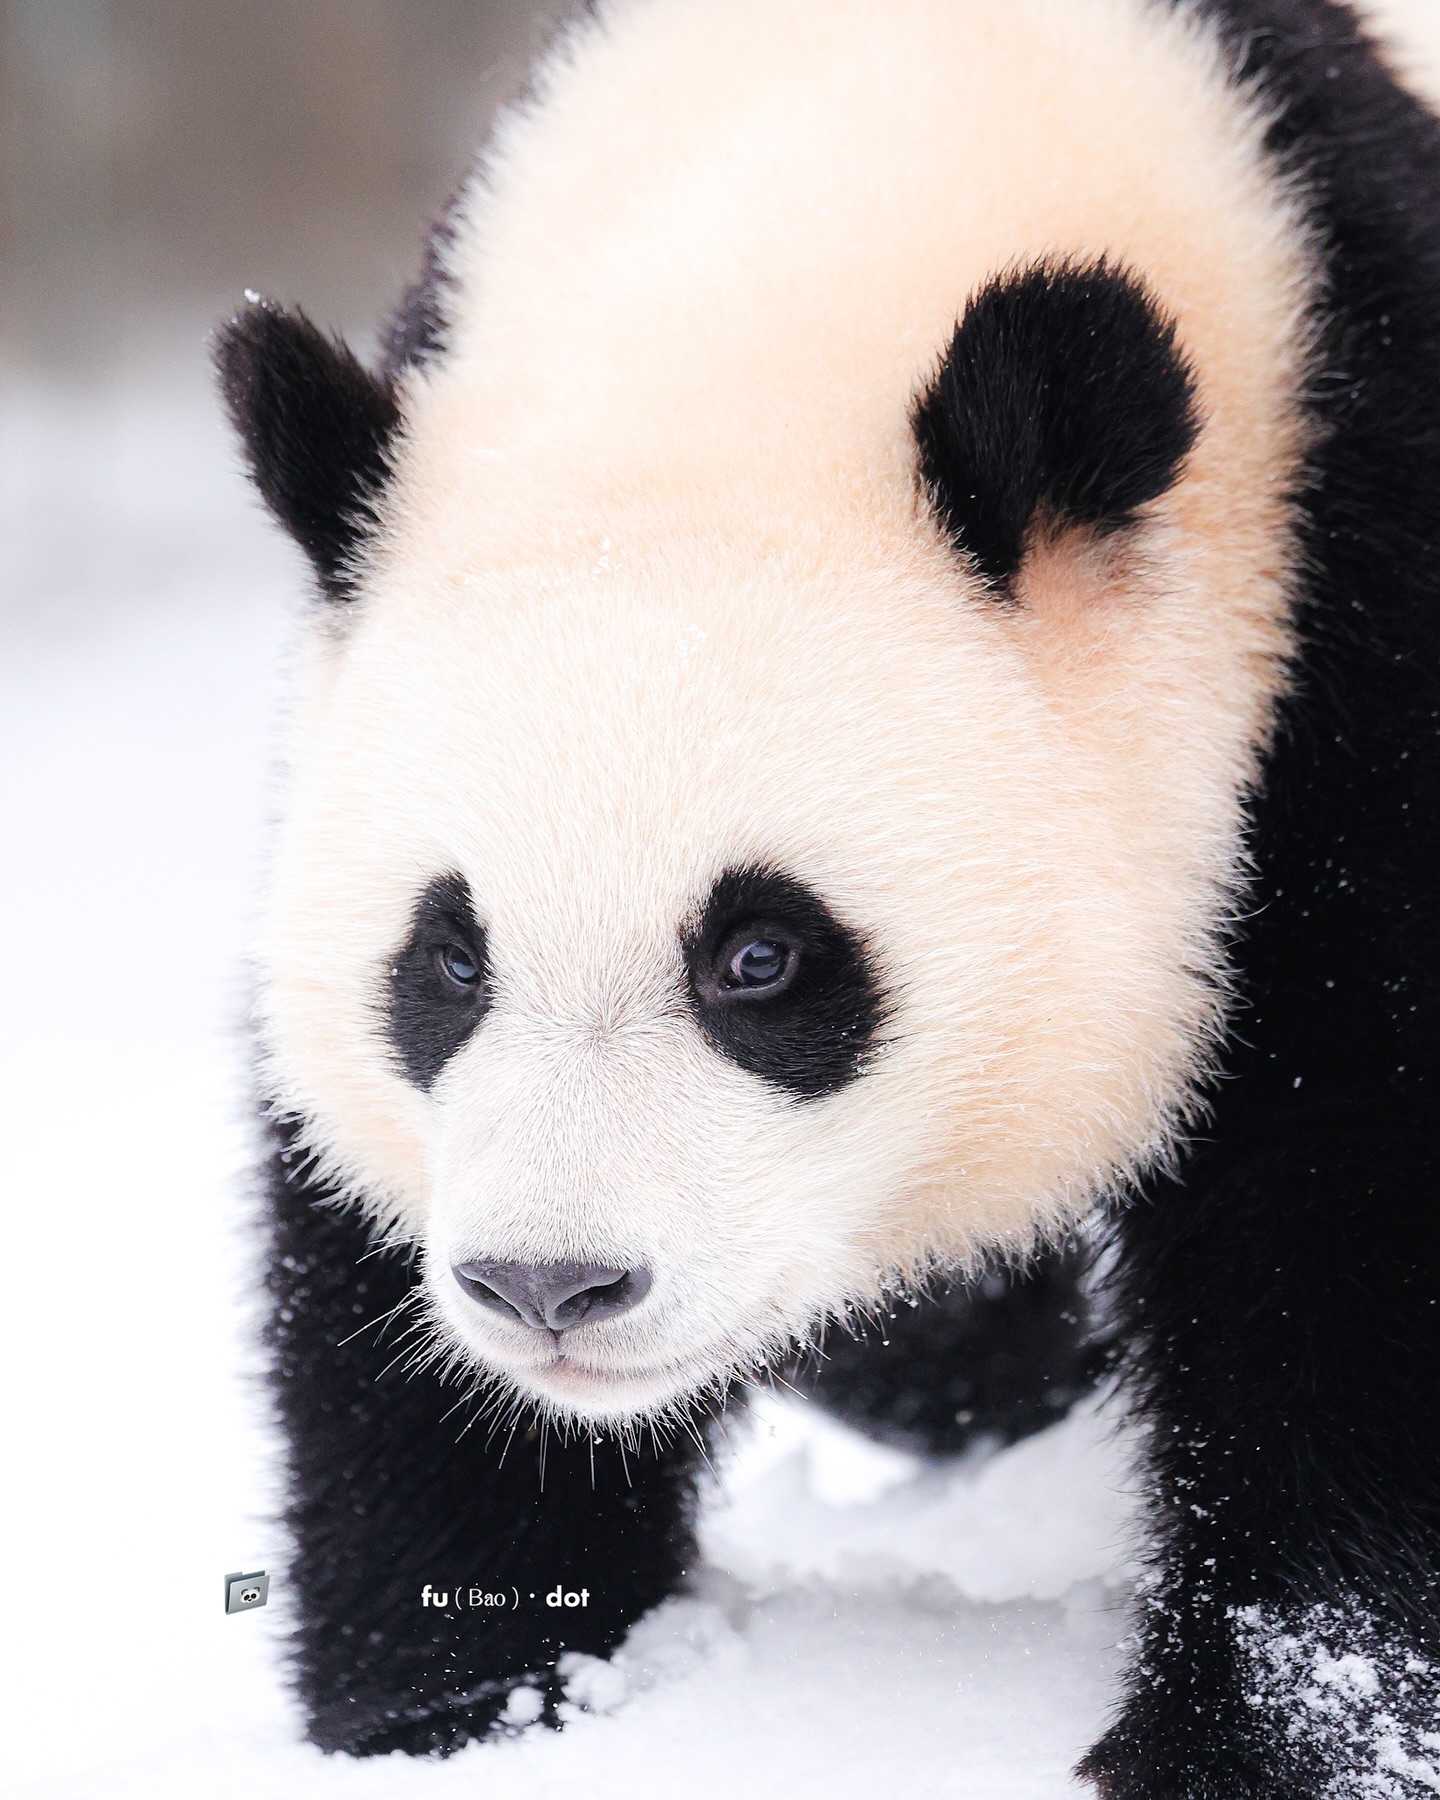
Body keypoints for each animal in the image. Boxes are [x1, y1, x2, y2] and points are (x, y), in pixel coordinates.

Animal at [214, 7, 1440, 1792]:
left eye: (762, 956)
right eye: (446, 962)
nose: (550, 1289)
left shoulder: (1359, 568)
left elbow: (1357, 1230)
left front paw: (1248, 1743)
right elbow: (359, 1268)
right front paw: (477, 1697)